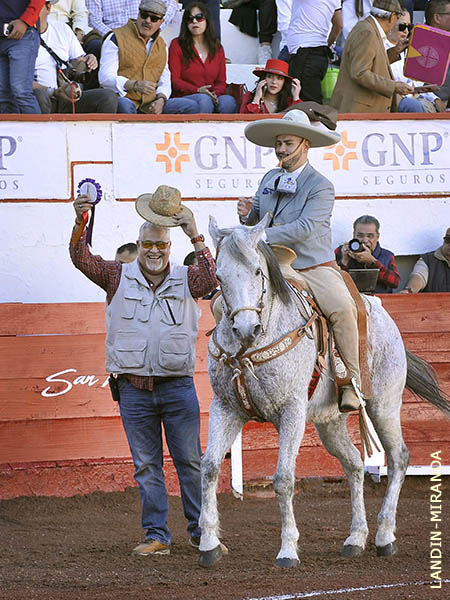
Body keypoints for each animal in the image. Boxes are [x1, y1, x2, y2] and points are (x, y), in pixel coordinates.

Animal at [200, 214, 450, 568]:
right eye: (219, 276)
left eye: (258, 271)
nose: (247, 329)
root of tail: (380, 309)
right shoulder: (225, 408)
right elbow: (208, 468)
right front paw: (209, 544)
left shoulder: (290, 411)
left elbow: (283, 479)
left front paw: (288, 550)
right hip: (329, 422)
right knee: (355, 464)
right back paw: (356, 538)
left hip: (384, 406)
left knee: (399, 458)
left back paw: (385, 536)